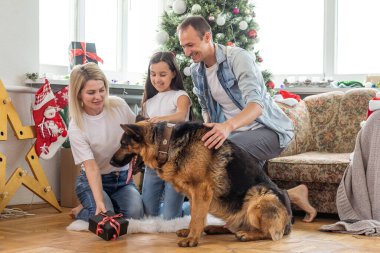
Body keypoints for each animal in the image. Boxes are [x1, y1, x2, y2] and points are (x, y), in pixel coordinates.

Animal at [110, 120, 290, 247]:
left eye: (123, 144)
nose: (110, 162)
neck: (166, 144)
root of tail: (288, 220)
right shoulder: (192, 194)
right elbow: (194, 215)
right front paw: (190, 232)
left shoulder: (201, 190)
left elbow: (196, 217)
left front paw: (192, 240)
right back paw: (216, 228)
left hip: (259, 195)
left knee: (270, 233)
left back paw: (247, 234)